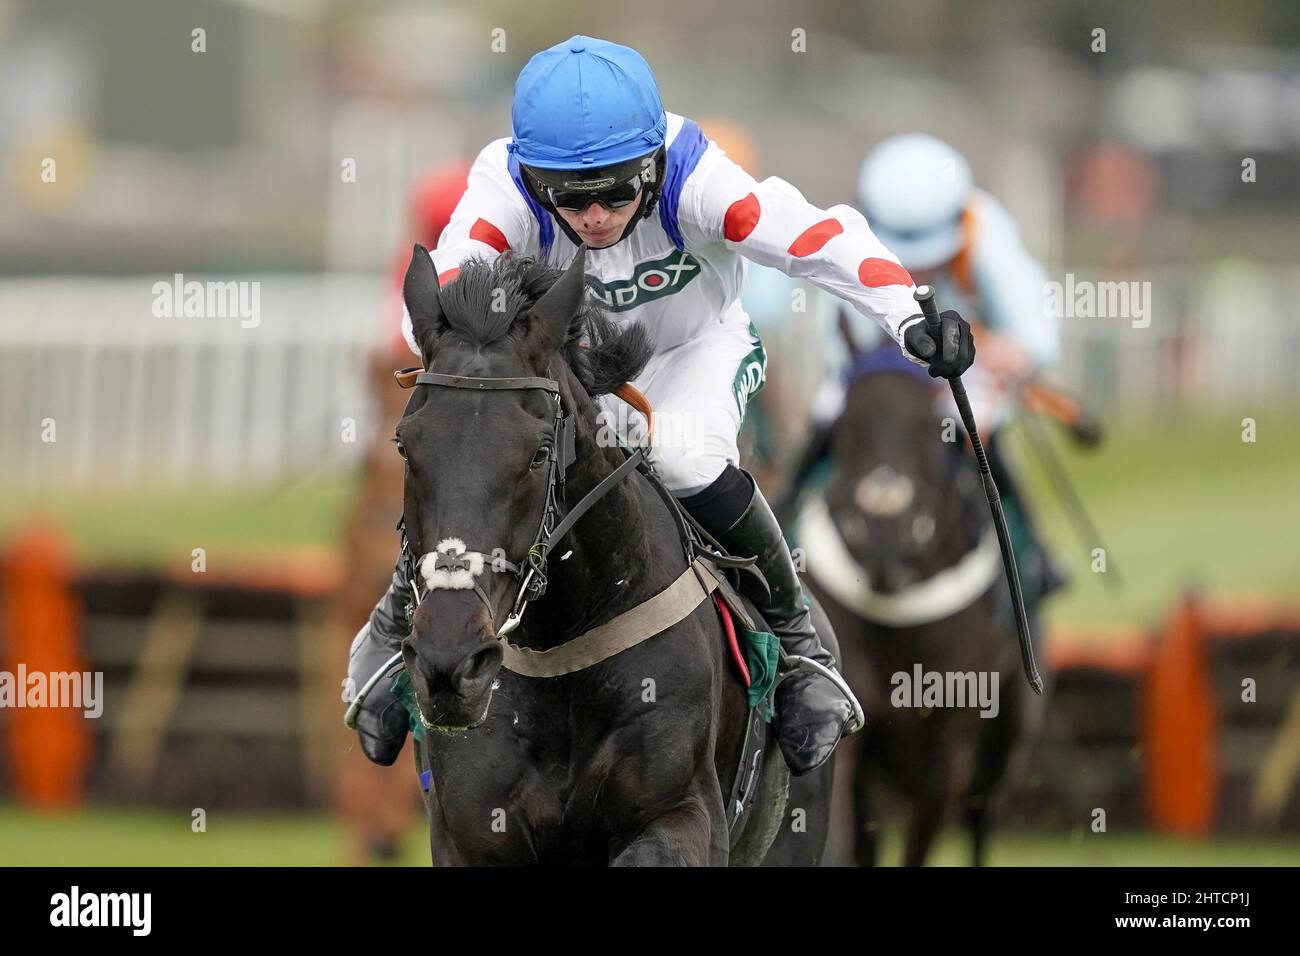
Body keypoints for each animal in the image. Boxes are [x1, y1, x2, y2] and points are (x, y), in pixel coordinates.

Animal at [390, 240, 832, 868]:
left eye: (539, 452)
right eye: (406, 446)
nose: (450, 663)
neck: (560, 653)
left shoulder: (684, 811)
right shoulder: (470, 833)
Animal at [785, 348, 1040, 868]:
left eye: (929, 426)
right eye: (847, 425)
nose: (885, 535)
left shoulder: (944, 754)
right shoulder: (850, 723)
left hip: (1006, 732)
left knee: (981, 815)